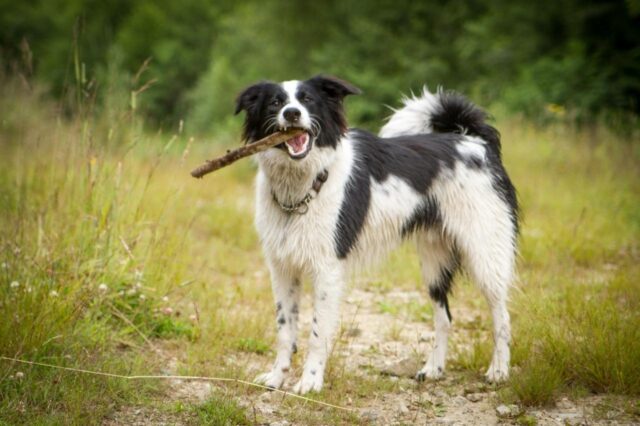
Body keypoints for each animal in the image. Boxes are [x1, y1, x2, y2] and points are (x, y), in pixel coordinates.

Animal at [232, 75, 516, 394]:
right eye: (275, 102)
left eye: (307, 100)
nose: (292, 114)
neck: (304, 181)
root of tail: (474, 141)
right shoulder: (282, 268)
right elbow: (284, 329)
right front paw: (277, 377)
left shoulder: (327, 270)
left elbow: (317, 333)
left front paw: (310, 382)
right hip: (434, 262)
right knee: (444, 317)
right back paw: (433, 369)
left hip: (485, 253)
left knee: (501, 315)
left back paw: (499, 370)